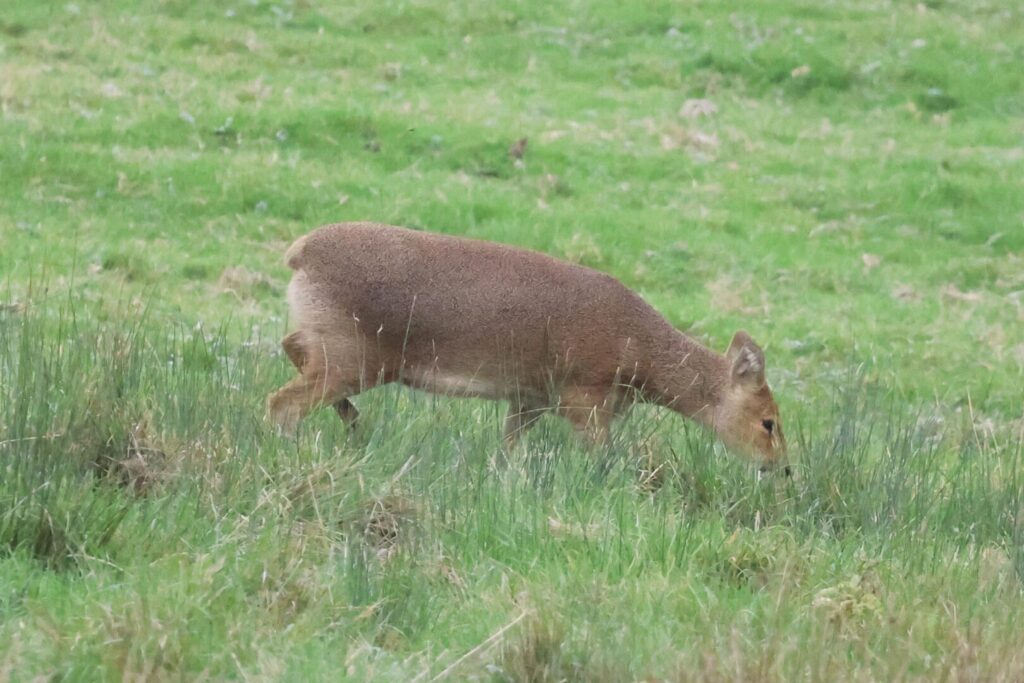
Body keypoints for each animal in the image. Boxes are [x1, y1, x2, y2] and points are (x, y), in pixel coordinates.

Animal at [267, 222, 789, 473]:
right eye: (769, 421)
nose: (780, 468)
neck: (638, 352)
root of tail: (299, 252)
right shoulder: (586, 396)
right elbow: (602, 457)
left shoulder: (530, 398)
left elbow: (509, 449)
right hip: (353, 355)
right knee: (281, 403)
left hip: (333, 346)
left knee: (290, 347)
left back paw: (355, 424)